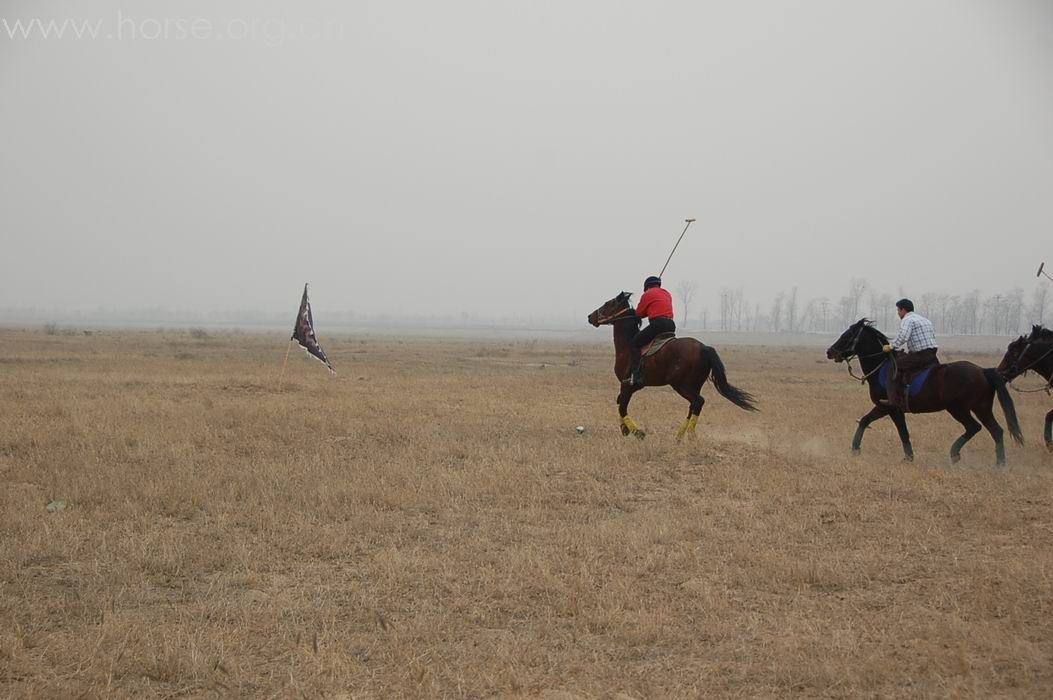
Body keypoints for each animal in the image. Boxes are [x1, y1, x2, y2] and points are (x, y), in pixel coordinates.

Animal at [585, 292, 758, 440]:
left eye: (608, 303)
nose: (590, 317)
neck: (627, 345)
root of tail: (703, 347)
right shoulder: (632, 387)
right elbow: (619, 402)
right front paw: (625, 429)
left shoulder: (627, 385)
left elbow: (622, 406)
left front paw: (637, 432)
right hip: (693, 385)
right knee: (693, 405)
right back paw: (679, 436)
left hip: (681, 385)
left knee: (698, 402)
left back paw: (689, 435)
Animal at [829, 320, 1019, 463]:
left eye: (847, 336)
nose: (829, 352)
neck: (881, 367)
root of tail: (983, 371)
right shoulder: (882, 408)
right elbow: (864, 421)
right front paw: (855, 449)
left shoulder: (892, 408)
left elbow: (903, 432)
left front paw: (908, 458)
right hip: (982, 408)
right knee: (996, 431)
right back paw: (999, 463)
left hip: (960, 409)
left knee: (975, 427)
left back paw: (956, 453)